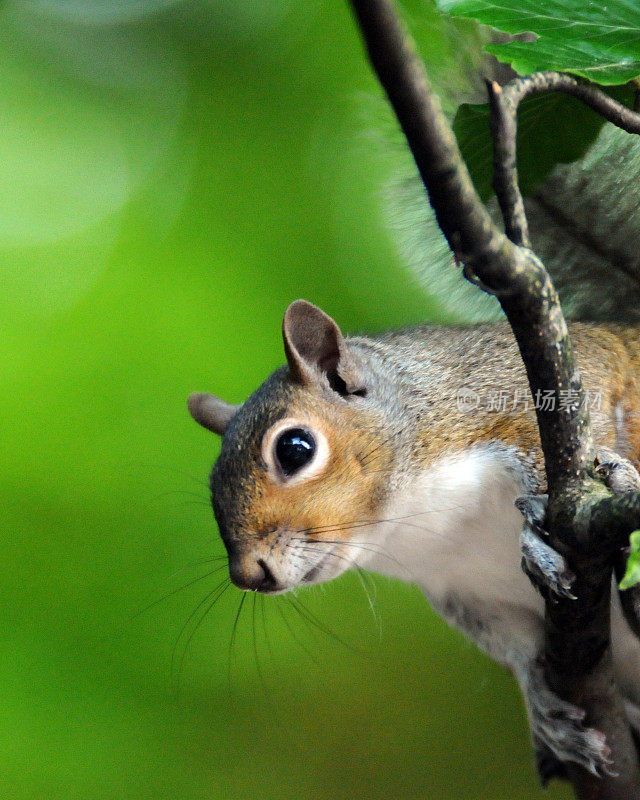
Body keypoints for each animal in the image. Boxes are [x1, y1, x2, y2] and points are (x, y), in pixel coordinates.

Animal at [186, 126, 640, 780]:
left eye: (295, 448)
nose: (250, 575)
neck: (415, 513)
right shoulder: (465, 592)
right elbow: (518, 652)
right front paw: (543, 708)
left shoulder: (536, 382)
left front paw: (539, 529)